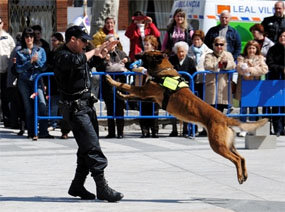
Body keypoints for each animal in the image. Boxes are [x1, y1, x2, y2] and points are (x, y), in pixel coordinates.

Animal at [105, 50, 268, 184]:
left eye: (146, 54)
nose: (134, 55)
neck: (164, 71)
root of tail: (225, 118)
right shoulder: (149, 97)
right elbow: (130, 93)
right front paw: (121, 95)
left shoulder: (144, 91)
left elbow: (127, 86)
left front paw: (112, 81)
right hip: (227, 145)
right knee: (242, 157)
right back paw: (244, 174)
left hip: (218, 146)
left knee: (236, 159)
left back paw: (240, 176)